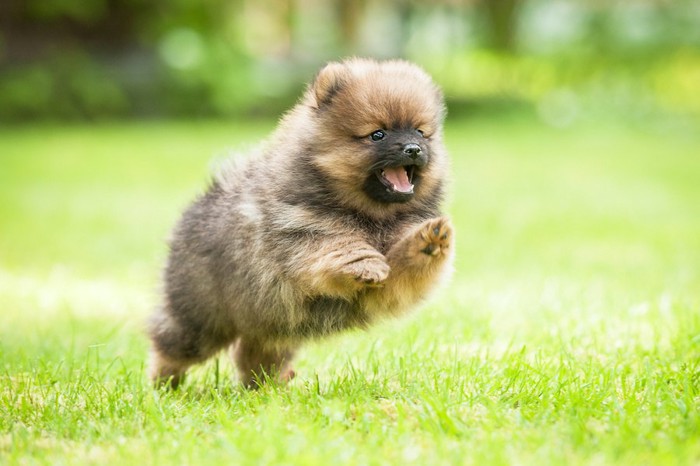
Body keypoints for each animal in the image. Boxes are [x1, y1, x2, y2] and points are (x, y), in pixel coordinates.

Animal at [148, 56, 454, 388]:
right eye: (378, 134)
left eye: (421, 132)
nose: (413, 149)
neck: (372, 218)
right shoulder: (301, 230)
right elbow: (338, 244)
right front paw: (365, 262)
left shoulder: (387, 288)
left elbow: (404, 269)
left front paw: (427, 242)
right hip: (199, 313)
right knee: (173, 343)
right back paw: (163, 383)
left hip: (272, 323)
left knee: (255, 350)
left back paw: (266, 385)